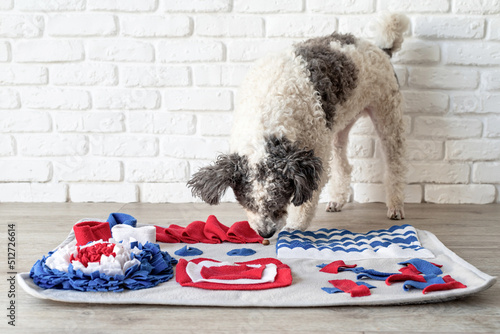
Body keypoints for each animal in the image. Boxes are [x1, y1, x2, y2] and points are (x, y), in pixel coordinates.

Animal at [188, 12, 410, 237]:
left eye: (279, 201)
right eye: (247, 202)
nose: (265, 233)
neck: (268, 111)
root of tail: (380, 49)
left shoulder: (314, 155)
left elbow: (306, 199)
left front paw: (295, 226)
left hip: (388, 115)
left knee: (396, 163)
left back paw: (396, 206)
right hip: (339, 126)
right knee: (343, 164)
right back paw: (337, 200)